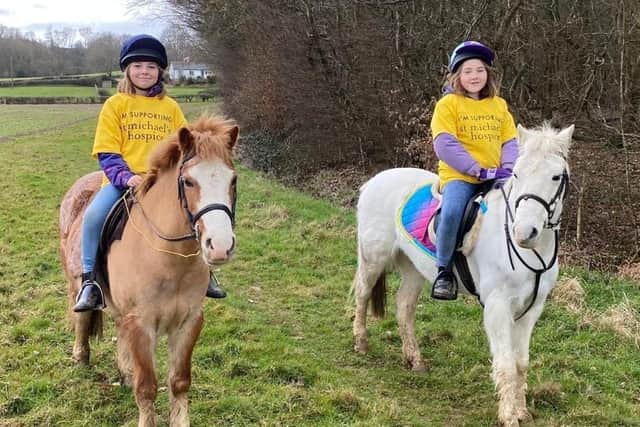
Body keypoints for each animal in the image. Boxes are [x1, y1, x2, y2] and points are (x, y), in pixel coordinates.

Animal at [59, 115, 239, 427]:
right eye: (188, 181)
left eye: (233, 179)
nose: (219, 246)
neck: (171, 261)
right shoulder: (141, 325)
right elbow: (147, 387)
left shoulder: (189, 322)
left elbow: (179, 382)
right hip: (76, 284)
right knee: (81, 316)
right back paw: (81, 356)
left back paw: (125, 372)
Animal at [352, 123, 574, 426]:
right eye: (517, 173)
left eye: (555, 176)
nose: (524, 232)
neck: (531, 252)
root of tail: (374, 181)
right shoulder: (497, 307)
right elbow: (506, 364)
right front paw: (508, 416)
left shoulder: (532, 309)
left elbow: (520, 363)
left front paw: (522, 411)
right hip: (374, 257)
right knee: (363, 293)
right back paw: (361, 342)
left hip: (413, 269)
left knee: (404, 307)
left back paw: (415, 360)